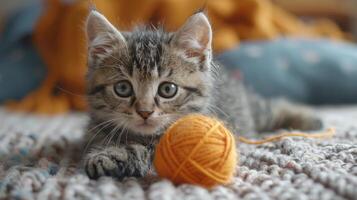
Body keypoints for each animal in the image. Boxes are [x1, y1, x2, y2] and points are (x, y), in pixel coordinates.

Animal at [82, 10, 320, 180]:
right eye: (123, 88)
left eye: (168, 89)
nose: (145, 112)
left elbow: (151, 148)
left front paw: (111, 156)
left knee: (273, 106)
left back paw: (309, 119)